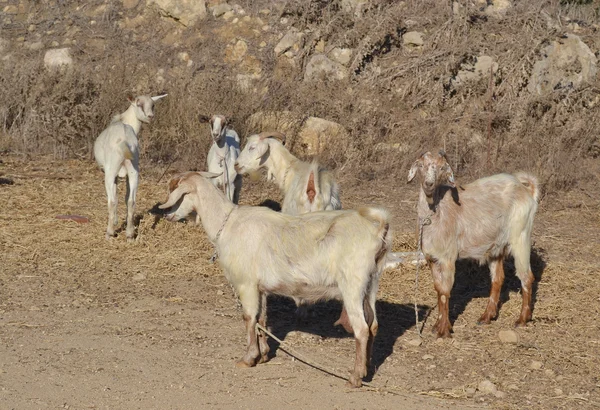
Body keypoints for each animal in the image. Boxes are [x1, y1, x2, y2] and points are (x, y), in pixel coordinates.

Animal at [94, 93, 168, 240]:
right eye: (139, 104)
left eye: (153, 105)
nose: (150, 116)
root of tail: (125, 140)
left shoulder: (113, 174)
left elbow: (115, 197)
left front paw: (115, 222)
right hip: (134, 171)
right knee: (131, 201)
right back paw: (129, 234)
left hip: (111, 170)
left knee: (112, 201)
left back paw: (109, 233)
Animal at [159, 171, 392, 388]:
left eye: (176, 191)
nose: (166, 215)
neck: (227, 223)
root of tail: (377, 228)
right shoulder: (260, 288)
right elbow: (261, 319)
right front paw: (263, 355)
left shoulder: (246, 284)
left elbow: (248, 318)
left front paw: (248, 358)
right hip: (371, 283)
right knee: (373, 325)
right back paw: (367, 368)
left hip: (352, 284)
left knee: (361, 328)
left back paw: (355, 377)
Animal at [408, 151, 540, 340]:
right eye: (420, 165)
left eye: (442, 168)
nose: (429, 184)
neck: (436, 211)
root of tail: (526, 190)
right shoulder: (431, 258)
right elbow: (438, 289)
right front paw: (437, 326)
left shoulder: (448, 258)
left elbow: (445, 291)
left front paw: (444, 330)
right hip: (496, 246)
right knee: (498, 278)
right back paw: (486, 317)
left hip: (520, 236)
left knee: (527, 277)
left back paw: (522, 319)